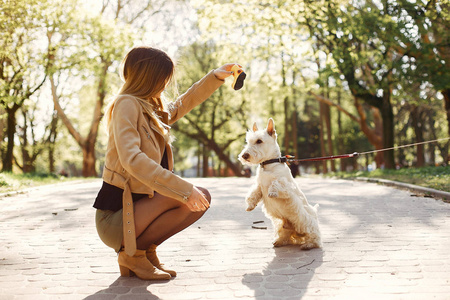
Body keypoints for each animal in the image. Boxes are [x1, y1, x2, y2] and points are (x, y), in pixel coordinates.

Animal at [237, 118, 322, 250]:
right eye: (248, 141)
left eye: (259, 141)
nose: (244, 156)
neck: (268, 164)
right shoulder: (259, 186)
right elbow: (254, 193)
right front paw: (250, 206)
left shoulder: (285, 184)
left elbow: (276, 183)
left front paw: (272, 192)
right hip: (281, 224)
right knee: (285, 234)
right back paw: (279, 241)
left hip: (305, 221)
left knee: (314, 234)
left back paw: (309, 244)